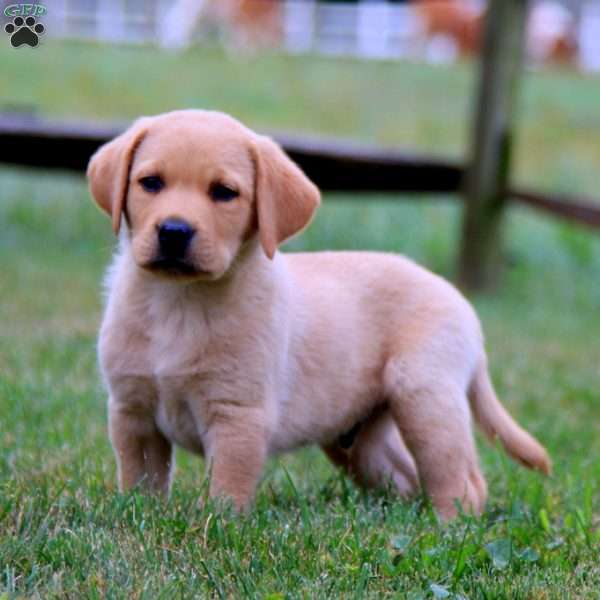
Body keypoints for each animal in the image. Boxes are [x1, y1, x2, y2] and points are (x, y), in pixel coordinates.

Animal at [86, 110, 552, 516]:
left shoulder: (238, 416)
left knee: (462, 482)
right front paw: (141, 515)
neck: (178, 302)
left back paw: (448, 528)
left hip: (426, 397)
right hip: (362, 440)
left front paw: (213, 527)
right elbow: (141, 480)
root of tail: (460, 302)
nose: (174, 231)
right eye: (150, 183)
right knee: (404, 476)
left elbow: (226, 490)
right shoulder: (132, 412)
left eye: (223, 192)